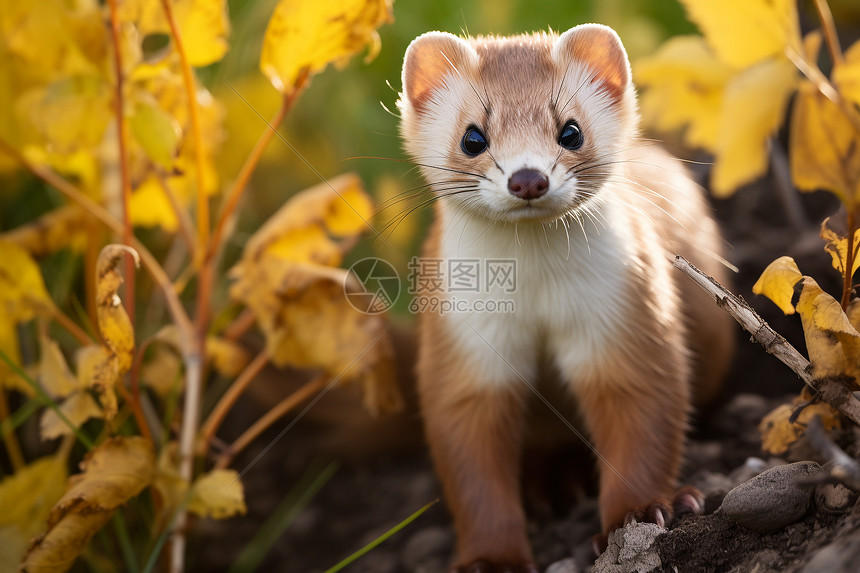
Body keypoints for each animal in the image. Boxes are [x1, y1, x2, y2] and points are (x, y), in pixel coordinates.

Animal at [400, 24, 736, 568]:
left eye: (571, 131)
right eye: (473, 136)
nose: (528, 178)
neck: (537, 294)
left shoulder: (627, 308)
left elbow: (643, 409)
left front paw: (643, 511)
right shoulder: (463, 340)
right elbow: (470, 459)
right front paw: (491, 559)